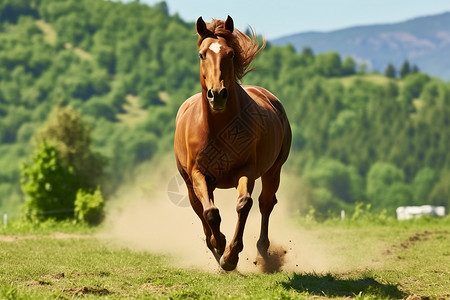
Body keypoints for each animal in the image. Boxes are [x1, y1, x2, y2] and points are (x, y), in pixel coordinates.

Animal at [172, 15, 292, 270]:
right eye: (202, 55)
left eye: (230, 54)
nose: (217, 94)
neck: (218, 129)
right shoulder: (198, 174)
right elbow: (210, 211)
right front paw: (219, 244)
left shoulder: (246, 170)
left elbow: (244, 204)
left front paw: (231, 255)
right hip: (189, 181)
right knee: (199, 207)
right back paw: (213, 244)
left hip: (273, 170)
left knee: (266, 203)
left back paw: (262, 250)